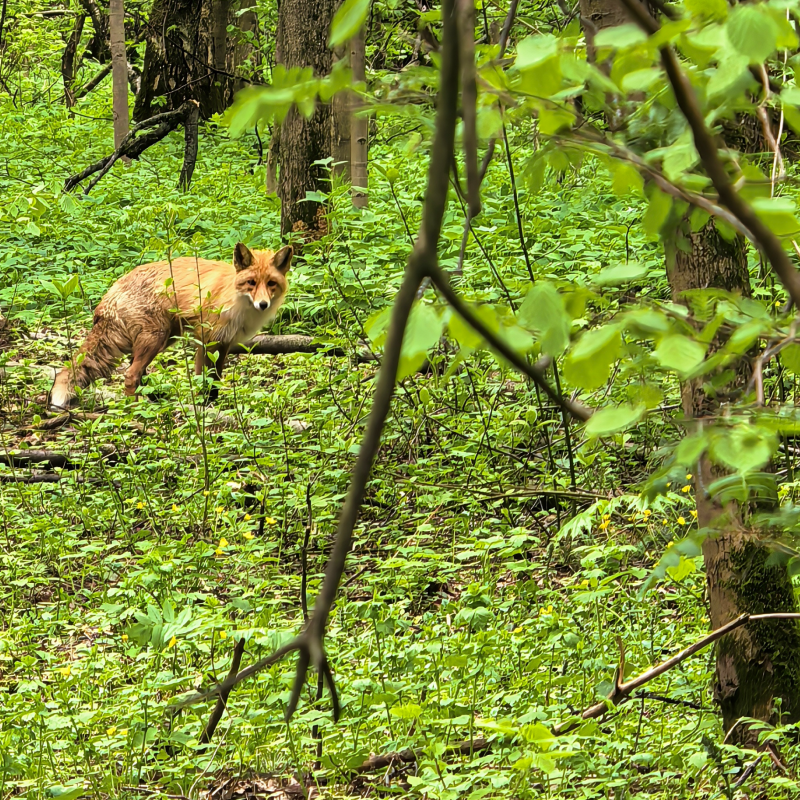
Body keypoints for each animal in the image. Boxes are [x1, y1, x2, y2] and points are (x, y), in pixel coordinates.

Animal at [49, 242, 292, 411]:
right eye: (251, 283)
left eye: (271, 283)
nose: (263, 304)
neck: (233, 298)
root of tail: (112, 290)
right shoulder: (206, 339)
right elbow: (203, 380)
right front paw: (203, 408)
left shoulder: (223, 343)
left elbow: (214, 382)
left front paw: (210, 406)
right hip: (156, 338)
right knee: (130, 375)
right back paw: (136, 409)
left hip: (163, 339)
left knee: (138, 372)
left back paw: (153, 400)